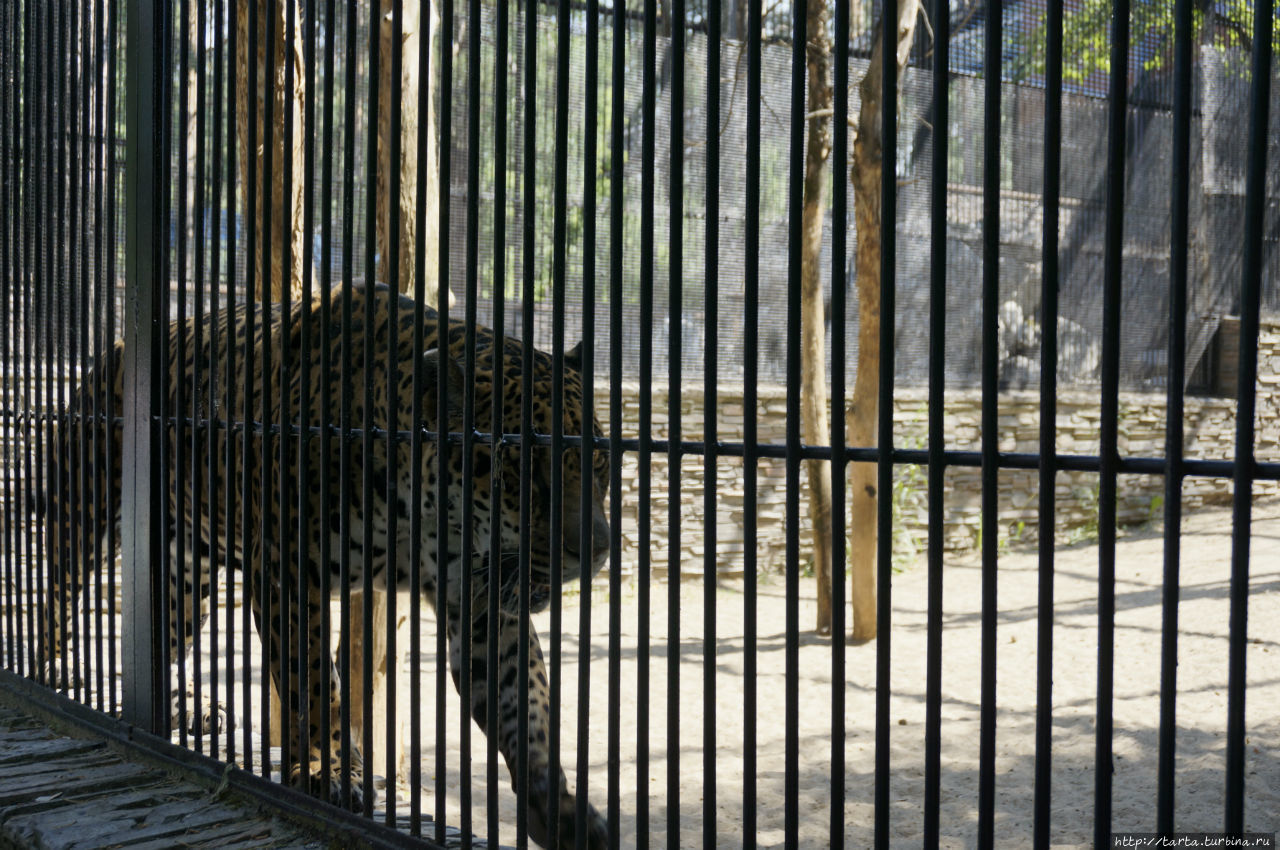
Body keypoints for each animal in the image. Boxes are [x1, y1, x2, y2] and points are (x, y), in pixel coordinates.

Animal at [42, 280, 611, 850]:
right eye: (524, 474)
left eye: (600, 465)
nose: (599, 550)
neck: (420, 512)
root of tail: (116, 348)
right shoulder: (287, 571)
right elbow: (314, 681)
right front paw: (329, 769)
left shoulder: (477, 599)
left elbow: (525, 704)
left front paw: (557, 806)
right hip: (84, 510)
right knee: (59, 592)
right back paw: (57, 672)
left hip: (189, 580)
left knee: (159, 642)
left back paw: (185, 709)